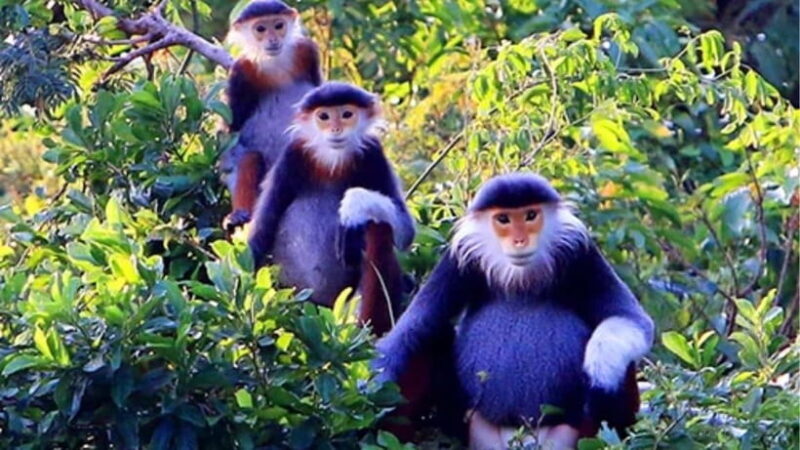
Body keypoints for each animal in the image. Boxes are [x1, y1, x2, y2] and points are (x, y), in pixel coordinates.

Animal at [220, 0, 322, 232]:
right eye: (260, 29)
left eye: (278, 25)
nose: (273, 39)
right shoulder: (241, 71)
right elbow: (232, 132)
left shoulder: (306, 51)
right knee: (250, 156)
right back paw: (240, 215)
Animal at [373, 173, 654, 449]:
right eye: (504, 219)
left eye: (530, 216)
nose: (519, 241)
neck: (521, 279)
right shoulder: (458, 261)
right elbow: (414, 325)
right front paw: (375, 381)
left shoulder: (581, 254)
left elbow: (633, 319)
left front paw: (600, 374)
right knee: (431, 335)